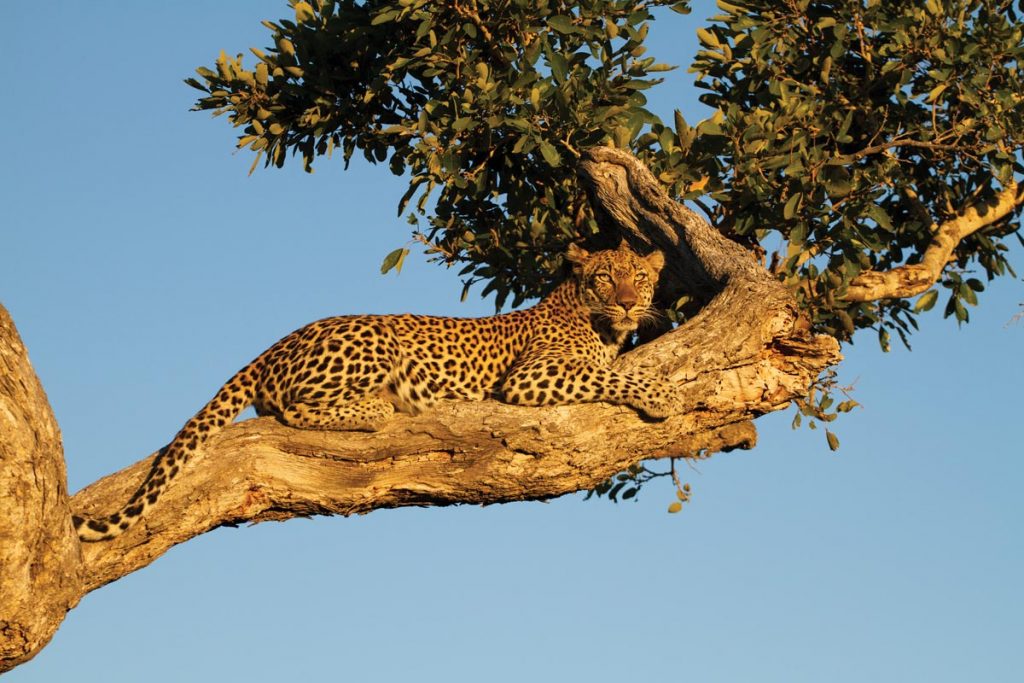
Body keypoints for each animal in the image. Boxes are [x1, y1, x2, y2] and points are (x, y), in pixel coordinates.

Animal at [73, 242, 680, 541]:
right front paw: (662, 394)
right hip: (375, 341)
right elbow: (609, 374)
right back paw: (379, 406)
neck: (594, 320)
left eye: (639, 279)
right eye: (605, 278)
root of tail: (275, 344)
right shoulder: (531, 375)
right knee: (290, 409)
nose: (628, 304)